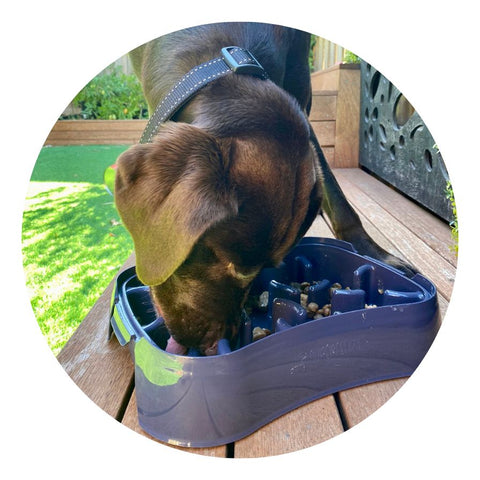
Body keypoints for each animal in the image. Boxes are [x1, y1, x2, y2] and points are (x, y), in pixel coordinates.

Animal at [112, 21, 412, 356]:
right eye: (230, 263)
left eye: (253, 271)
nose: (214, 345)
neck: (221, 56)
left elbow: (335, 194)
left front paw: (372, 250)